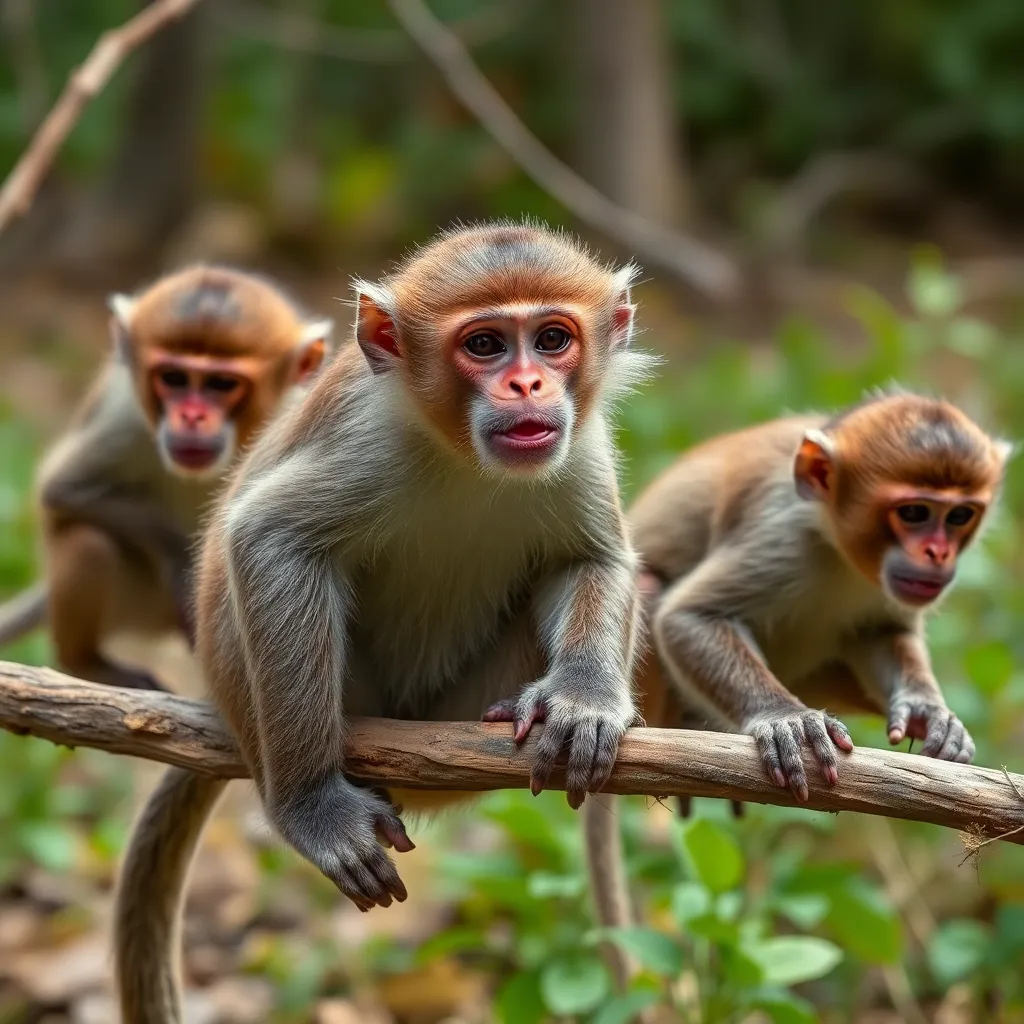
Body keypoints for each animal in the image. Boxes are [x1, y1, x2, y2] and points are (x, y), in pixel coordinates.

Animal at [4, 266, 333, 692]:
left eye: (221, 384)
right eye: (174, 377)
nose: (191, 416)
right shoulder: (124, 420)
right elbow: (61, 490)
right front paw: (181, 562)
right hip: (137, 602)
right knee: (88, 542)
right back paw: (86, 664)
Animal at [112, 220, 655, 1023]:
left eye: (554, 338)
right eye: (486, 345)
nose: (527, 385)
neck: (465, 458)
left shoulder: (578, 444)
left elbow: (590, 560)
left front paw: (583, 702)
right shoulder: (365, 441)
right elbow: (270, 537)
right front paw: (314, 808)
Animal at [583, 388, 1011, 986]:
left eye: (960, 516)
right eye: (914, 512)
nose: (938, 554)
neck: (834, 543)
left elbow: (886, 632)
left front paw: (931, 713)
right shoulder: (777, 535)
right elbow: (688, 617)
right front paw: (785, 719)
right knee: (647, 588)